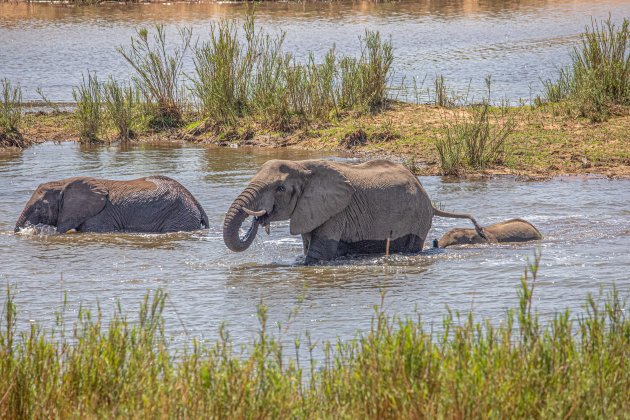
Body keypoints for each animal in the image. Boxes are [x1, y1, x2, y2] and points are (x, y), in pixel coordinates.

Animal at [225, 159, 486, 264]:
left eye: (279, 188)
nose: (260, 218)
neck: (303, 166)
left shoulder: (337, 212)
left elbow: (317, 255)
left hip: (418, 219)